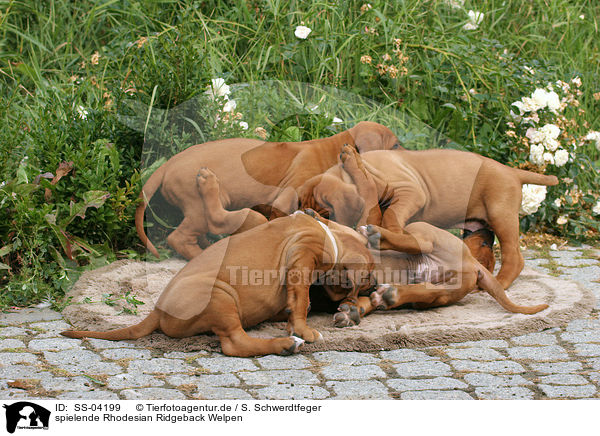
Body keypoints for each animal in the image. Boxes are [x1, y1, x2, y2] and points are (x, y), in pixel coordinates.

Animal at [64, 204, 376, 354]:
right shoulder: (301, 259)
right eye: (366, 278)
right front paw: (304, 330)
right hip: (220, 296)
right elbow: (300, 299)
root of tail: (158, 311)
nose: (373, 286)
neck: (331, 235)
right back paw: (285, 344)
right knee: (234, 344)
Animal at [298, 147, 556, 290]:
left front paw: (391, 232)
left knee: (514, 256)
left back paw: (500, 283)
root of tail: (512, 171)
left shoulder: (410, 192)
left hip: (500, 214)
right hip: (480, 224)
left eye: (325, 209)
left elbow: (390, 214)